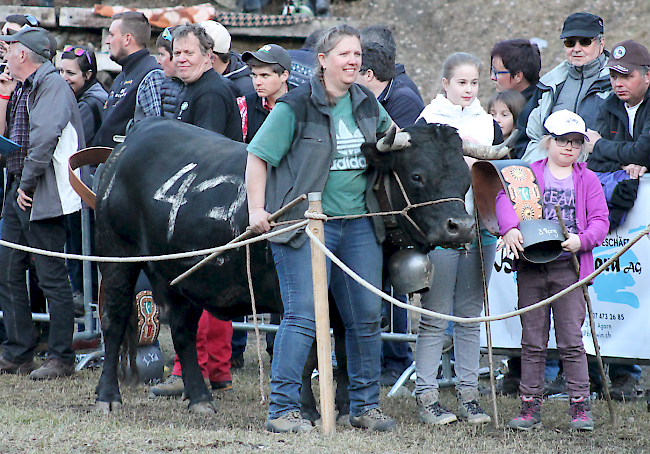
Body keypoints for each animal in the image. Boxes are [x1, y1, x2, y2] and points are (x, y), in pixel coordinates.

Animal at [93, 117, 498, 414]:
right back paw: (108, 397)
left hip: (182, 276)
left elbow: (346, 346)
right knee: (114, 321)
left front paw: (346, 408)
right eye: (416, 175)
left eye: (464, 178)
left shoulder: (350, 291)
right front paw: (306, 410)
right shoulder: (296, 293)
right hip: (117, 258)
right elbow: (308, 349)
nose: (461, 226)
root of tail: (135, 135)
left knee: (182, 329)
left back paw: (200, 399)